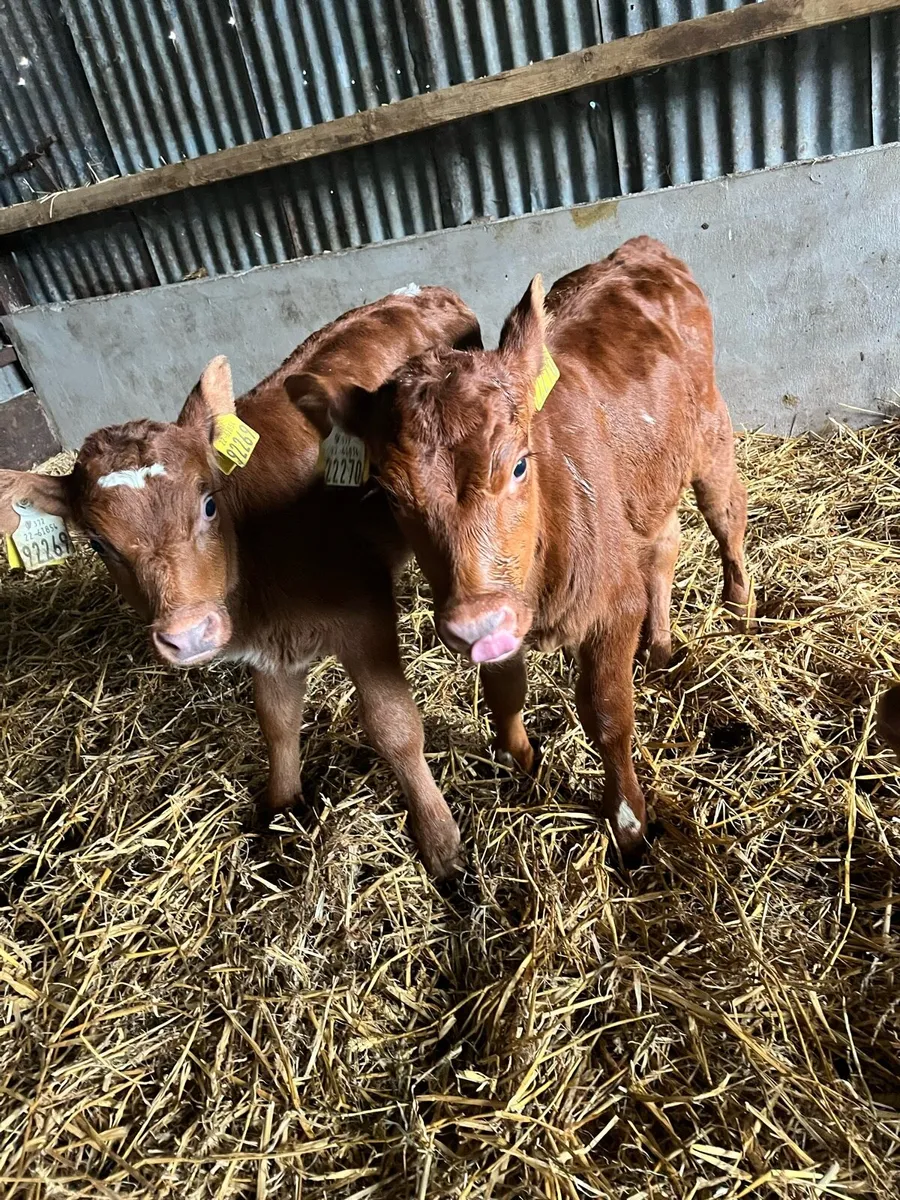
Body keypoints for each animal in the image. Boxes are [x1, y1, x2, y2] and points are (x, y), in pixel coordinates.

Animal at [0, 287, 481, 879]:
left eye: (208, 503)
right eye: (97, 543)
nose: (188, 634)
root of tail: (420, 294)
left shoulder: (365, 616)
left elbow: (395, 728)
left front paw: (440, 841)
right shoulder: (268, 648)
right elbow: (275, 723)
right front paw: (280, 807)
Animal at [293, 238, 754, 858]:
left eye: (517, 465)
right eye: (389, 494)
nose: (476, 622)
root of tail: (641, 249)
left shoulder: (614, 605)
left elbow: (607, 713)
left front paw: (629, 825)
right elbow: (504, 694)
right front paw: (525, 766)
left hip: (710, 436)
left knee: (728, 517)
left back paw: (741, 611)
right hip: (650, 478)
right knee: (662, 545)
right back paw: (658, 646)